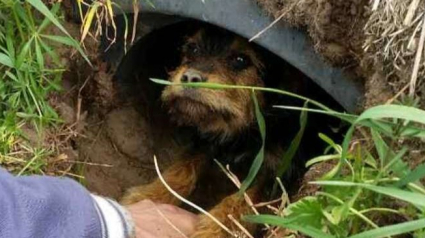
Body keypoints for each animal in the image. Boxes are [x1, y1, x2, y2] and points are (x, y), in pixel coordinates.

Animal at [119, 26, 322, 238]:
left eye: (241, 60)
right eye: (193, 48)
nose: (191, 77)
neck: (244, 133)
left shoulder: (278, 171)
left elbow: (243, 199)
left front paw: (213, 230)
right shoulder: (206, 143)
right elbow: (182, 169)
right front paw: (149, 196)